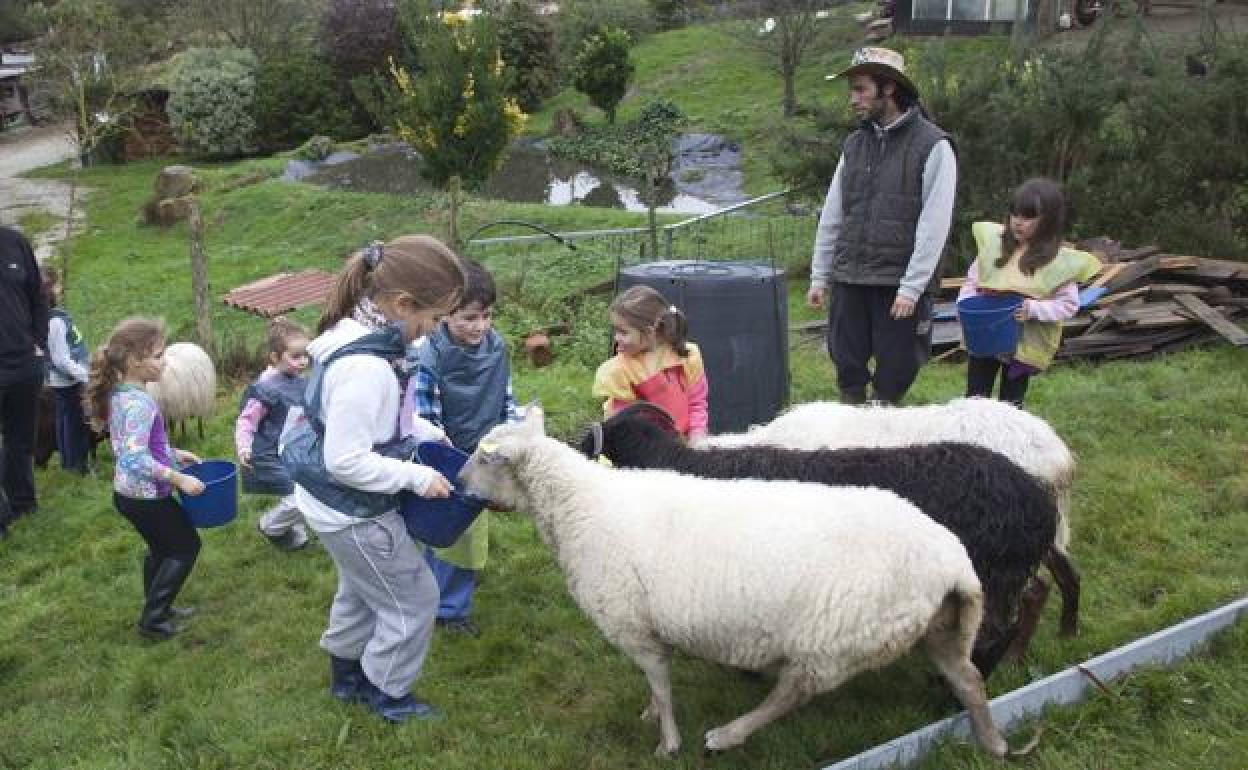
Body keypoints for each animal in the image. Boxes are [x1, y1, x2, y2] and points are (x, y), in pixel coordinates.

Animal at [464, 409, 1008, 758]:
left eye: (485, 458)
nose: (461, 483)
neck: (580, 503)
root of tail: (951, 561)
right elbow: (652, 686)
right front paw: (649, 717)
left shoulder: (633, 625)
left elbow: (659, 683)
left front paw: (668, 742)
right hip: (934, 625)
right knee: (969, 678)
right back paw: (994, 743)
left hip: (832, 639)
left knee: (790, 693)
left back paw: (726, 736)